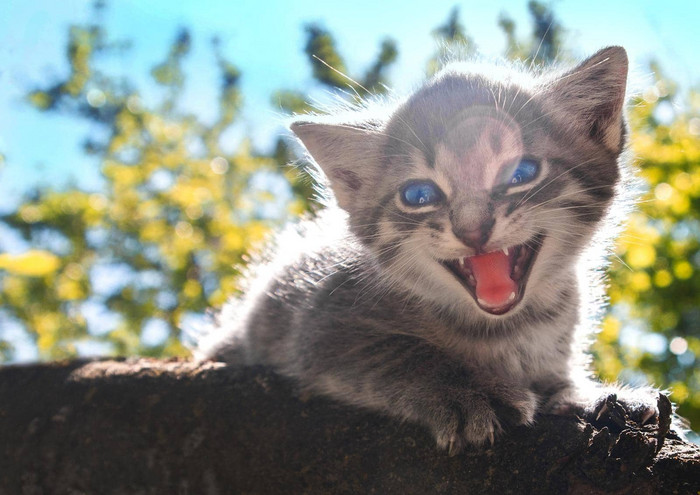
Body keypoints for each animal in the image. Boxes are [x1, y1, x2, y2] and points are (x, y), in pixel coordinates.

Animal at [197, 48, 660, 456]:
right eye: (418, 195)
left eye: (521, 172)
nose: (473, 229)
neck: (504, 329)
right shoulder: (318, 325)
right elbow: (403, 352)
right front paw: (470, 391)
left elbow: (559, 377)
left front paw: (591, 394)